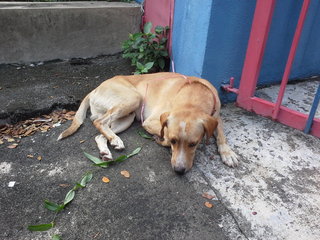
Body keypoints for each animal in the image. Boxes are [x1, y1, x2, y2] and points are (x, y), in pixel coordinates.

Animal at [57, 71, 239, 174]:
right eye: (175, 141)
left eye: (194, 144)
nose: (179, 171)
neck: (193, 95)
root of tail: (94, 89)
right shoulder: (152, 122)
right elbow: (165, 135)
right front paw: (161, 140)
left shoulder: (216, 118)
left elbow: (221, 135)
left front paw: (227, 153)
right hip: (133, 98)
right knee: (100, 122)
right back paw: (114, 140)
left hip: (128, 117)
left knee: (100, 134)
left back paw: (107, 149)